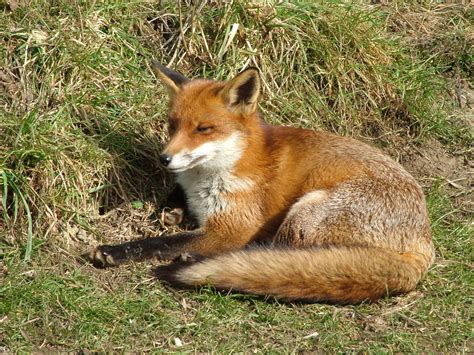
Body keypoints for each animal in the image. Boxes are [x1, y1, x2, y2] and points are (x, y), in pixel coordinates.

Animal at [87, 61, 436, 306]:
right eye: (172, 126)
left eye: (203, 129)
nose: (165, 159)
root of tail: (424, 244)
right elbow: (173, 202)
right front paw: (171, 209)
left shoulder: (231, 226)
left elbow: (161, 242)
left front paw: (115, 251)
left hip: (305, 215)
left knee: (277, 254)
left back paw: (199, 261)